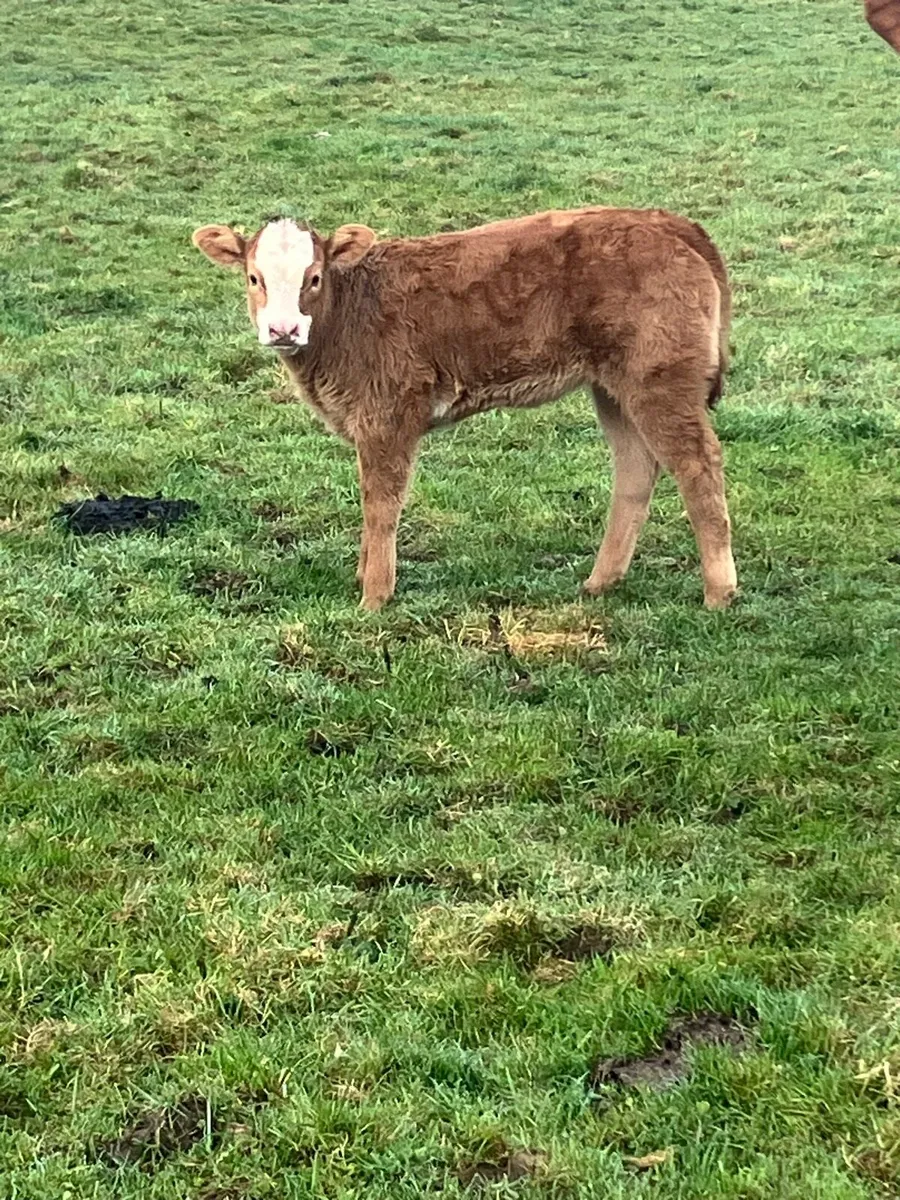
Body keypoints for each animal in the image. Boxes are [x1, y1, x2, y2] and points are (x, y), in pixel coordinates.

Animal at [192, 206, 737, 612]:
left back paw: (719, 592)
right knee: (636, 468)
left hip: (659, 379)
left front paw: (374, 596)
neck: (350, 315)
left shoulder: (387, 416)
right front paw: (364, 576)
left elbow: (380, 504)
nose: (283, 329)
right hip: (614, 385)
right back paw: (600, 582)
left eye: (315, 277)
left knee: (697, 464)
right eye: (254, 277)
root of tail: (668, 222)